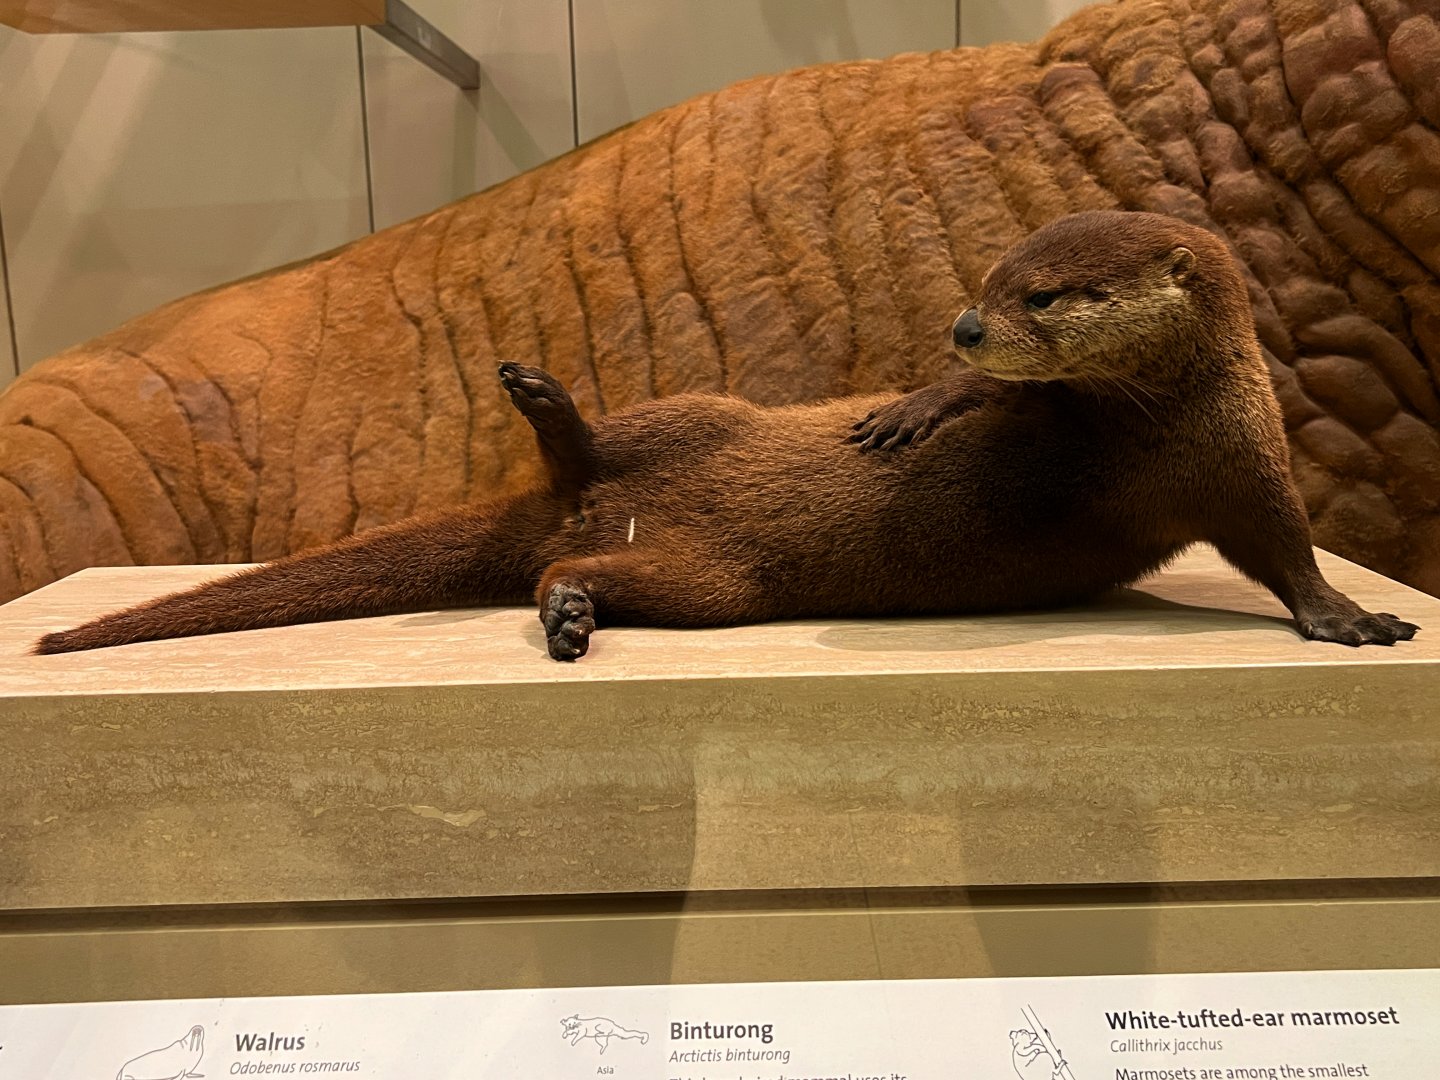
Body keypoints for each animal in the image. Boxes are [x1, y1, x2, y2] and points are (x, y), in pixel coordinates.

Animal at [33, 211, 1418, 659]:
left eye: (1051, 293)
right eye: (990, 274)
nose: (969, 322)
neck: (1159, 426)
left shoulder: (1241, 461)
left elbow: (1288, 550)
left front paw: (1354, 619)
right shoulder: (1058, 408)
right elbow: (980, 405)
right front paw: (907, 408)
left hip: (710, 583)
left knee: (566, 561)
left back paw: (569, 606)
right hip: (694, 414)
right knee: (593, 466)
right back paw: (544, 406)